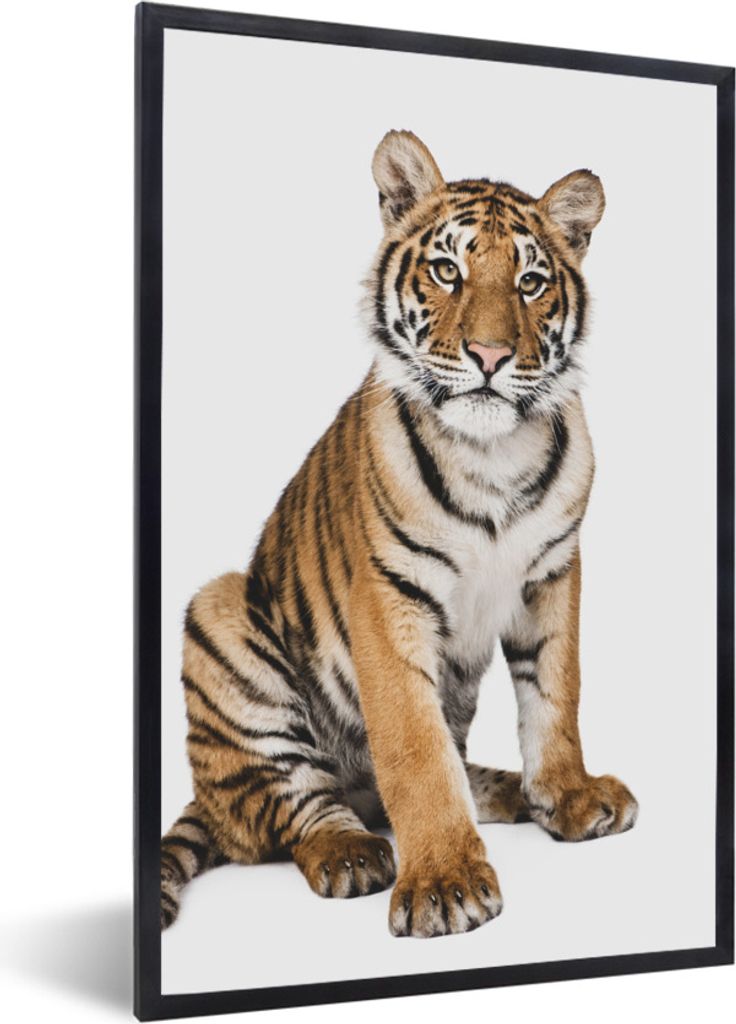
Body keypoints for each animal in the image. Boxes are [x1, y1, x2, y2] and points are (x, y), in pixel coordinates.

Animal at [160, 130, 638, 939]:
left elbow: (556, 693)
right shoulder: (388, 599)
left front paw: (570, 798)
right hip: (218, 614)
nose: (490, 356)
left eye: (531, 283)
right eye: (448, 271)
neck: (492, 455)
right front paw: (445, 882)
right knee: (293, 811)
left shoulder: (553, 572)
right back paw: (352, 853)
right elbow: (415, 751)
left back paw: (509, 792)